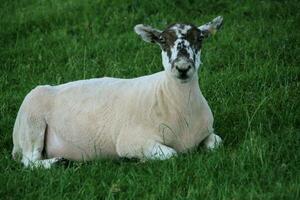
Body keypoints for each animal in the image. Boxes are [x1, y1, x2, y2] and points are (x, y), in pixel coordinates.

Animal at [11, 16, 223, 169]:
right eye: (162, 40)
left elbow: (217, 143)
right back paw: (57, 162)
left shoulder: (208, 133)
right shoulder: (132, 141)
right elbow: (172, 154)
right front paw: (136, 160)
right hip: (31, 121)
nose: (182, 67)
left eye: (200, 38)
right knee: (29, 161)